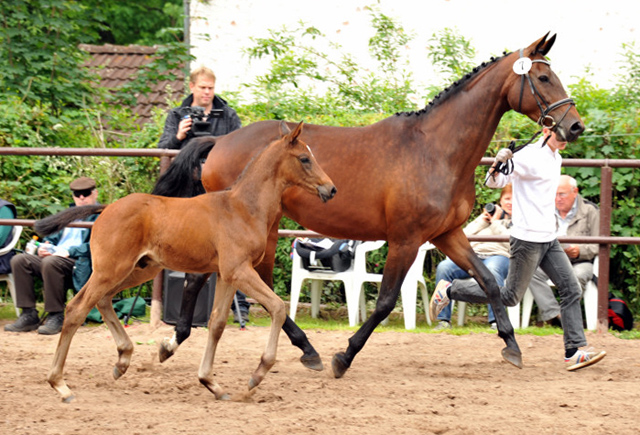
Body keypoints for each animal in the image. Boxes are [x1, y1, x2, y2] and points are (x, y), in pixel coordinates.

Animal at [35, 121, 338, 404]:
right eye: (305, 158)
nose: (331, 189)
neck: (243, 208)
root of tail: (107, 208)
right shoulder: (239, 270)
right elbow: (276, 307)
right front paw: (258, 374)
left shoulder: (227, 275)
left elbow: (217, 323)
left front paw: (211, 383)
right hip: (111, 269)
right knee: (76, 309)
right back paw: (60, 385)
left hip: (139, 270)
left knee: (103, 300)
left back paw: (123, 360)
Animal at [158, 33, 584, 378]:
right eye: (543, 78)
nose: (575, 125)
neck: (436, 150)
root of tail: (220, 141)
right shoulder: (406, 240)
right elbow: (383, 302)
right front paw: (343, 358)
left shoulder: (448, 235)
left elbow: (488, 282)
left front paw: (511, 347)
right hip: (258, 229)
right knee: (223, 280)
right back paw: (299, 350)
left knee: (217, 280)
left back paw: (183, 342)